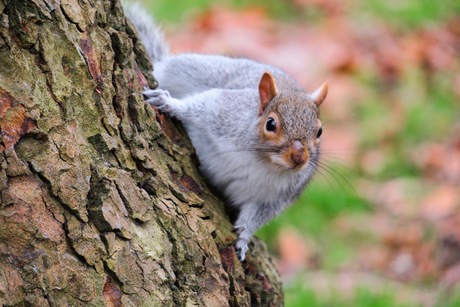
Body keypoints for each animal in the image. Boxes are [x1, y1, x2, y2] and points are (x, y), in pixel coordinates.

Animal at [124, 3, 328, 262]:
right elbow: (203, 104)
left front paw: (243, 239)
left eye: (319, 131)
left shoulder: (274, 198)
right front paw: (170, 104)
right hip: (193, 68)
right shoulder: (226, 113)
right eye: (271, 124)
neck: (261, 159)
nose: (299, 157)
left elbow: (255, 216)